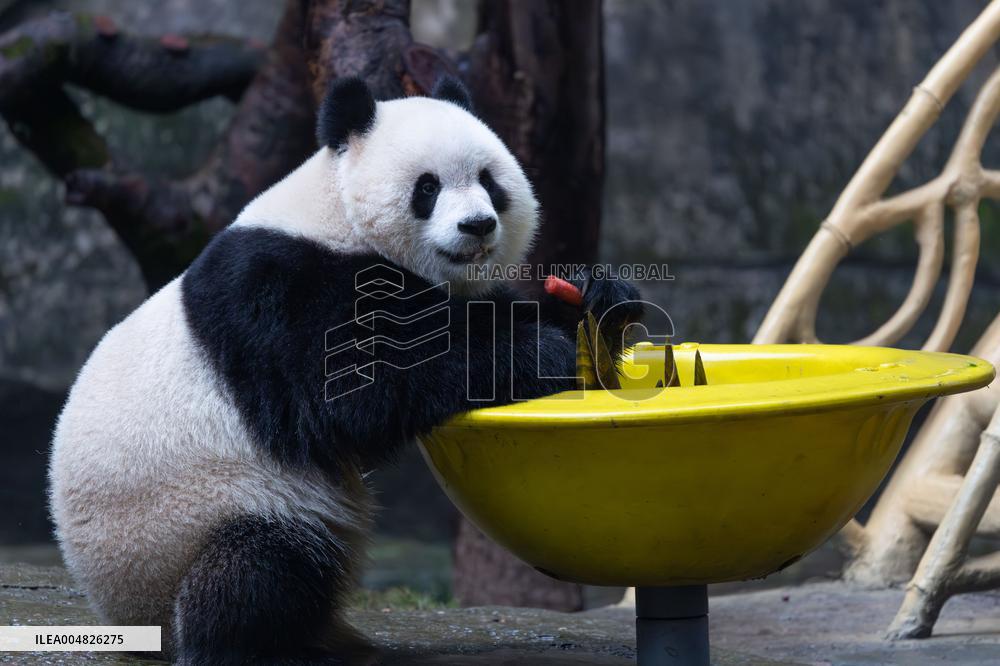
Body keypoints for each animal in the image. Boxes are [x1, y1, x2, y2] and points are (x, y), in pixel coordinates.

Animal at [49, 76, 640, 665]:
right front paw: (541, 354)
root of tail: (129, 618)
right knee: (260, 565)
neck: (336, 215)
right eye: (427, 187)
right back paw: (262, 647)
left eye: (489, 182)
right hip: (193, 518)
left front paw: (598, 300)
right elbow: (351, 389)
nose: (477, 225)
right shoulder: (277, 292)